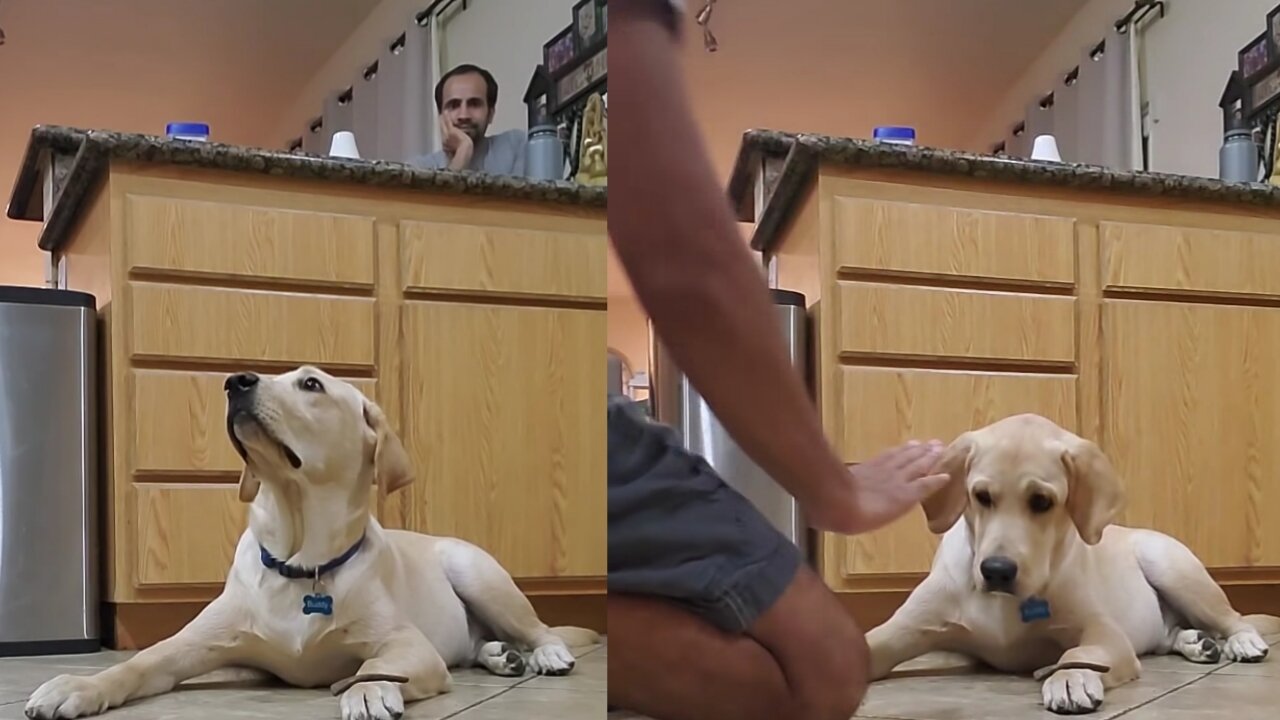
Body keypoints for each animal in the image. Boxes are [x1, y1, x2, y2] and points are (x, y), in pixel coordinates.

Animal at [24, 366, 593, 712]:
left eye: (312, 385)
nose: (234, 381)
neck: (300, 562)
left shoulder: (408, 644)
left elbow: (374, 664)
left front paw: (369, 691)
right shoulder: (197, 647)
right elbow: (138, 663)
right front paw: (79, 685)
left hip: (475, 570)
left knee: (543, 628)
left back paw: (543, 655)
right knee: (481, 645)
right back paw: (501, 655)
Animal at [870, 412, 1280, 712]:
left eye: (1042, 501)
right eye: (981, 496)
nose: (997, 571)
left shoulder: (1104, 633)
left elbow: (1078, 652)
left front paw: (1070, 679)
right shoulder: (903, 628)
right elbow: (873, 646)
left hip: (1171, 566)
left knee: (1234, 617)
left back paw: (1242, 642)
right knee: (1171, 634)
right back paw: (1198, 642)